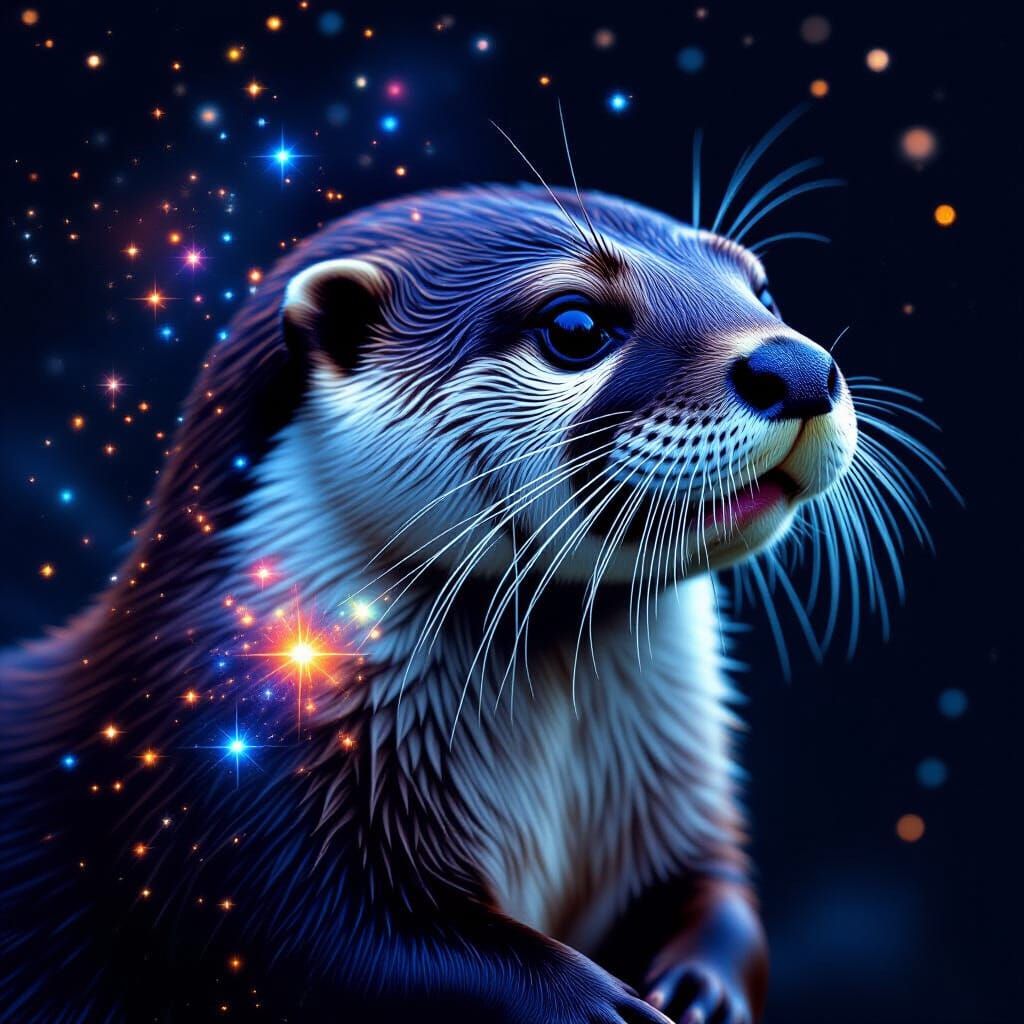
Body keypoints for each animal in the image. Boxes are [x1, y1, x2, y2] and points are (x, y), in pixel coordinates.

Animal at [2, 179, 924, 1024]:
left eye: (762, 292)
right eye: (575, 327)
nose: (797, 366)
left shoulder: (677, 806)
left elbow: (715, 891)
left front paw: (704, 984)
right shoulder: (226, 817)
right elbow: (343, 948)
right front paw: (597, 1007)